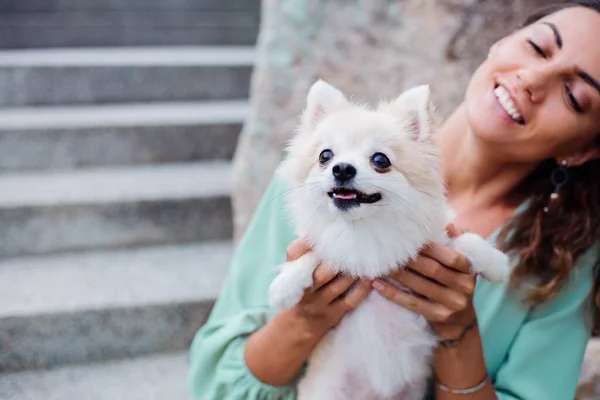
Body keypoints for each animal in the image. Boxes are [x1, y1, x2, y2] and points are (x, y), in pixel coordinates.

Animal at [270, 80, 508, 400]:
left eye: (380, 160)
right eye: (325, 156)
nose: (342, 168)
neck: (364, 228)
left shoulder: (429, 244)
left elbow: (461, 242)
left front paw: (496, 263)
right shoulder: (328, 246)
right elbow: (314, 254)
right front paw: (284, 287)